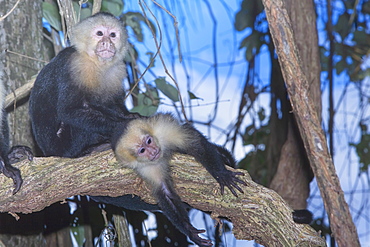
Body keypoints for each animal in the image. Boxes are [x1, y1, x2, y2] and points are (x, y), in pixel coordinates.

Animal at [111, 113, 247, 245]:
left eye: (149, 141)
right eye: (142, 150)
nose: (154, 151)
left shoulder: (163, 130)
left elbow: (197, 146)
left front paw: (222, 175)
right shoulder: (146, 167)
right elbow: (165, 192)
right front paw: (189, 230)